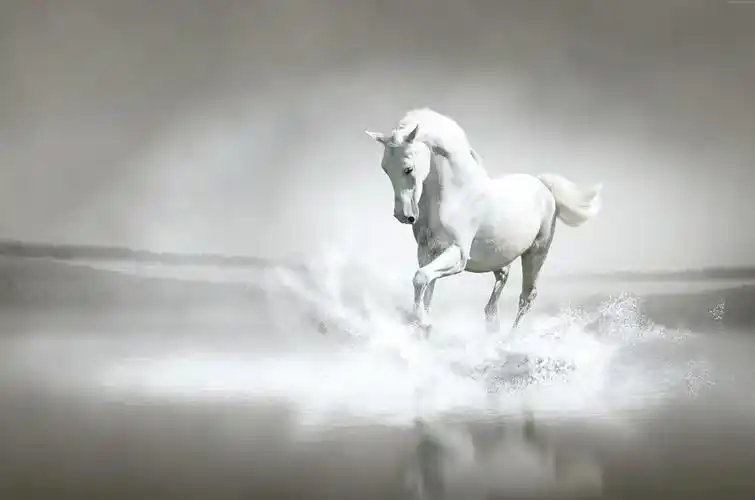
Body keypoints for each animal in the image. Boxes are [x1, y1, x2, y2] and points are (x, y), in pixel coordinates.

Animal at [365, 108, 602, 333]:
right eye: (385, 169)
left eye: (409, 168)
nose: (403, 215)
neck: (456, 195)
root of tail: (543, 185)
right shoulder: (427, 252)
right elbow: (426, 287)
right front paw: (422, 323)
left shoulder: (458, 254)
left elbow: (421, 278)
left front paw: (422, 323)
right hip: (499, 255)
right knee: (502, 281)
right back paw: (492, 325)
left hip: (537, 252)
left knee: (527, 297)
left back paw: (508, 339)